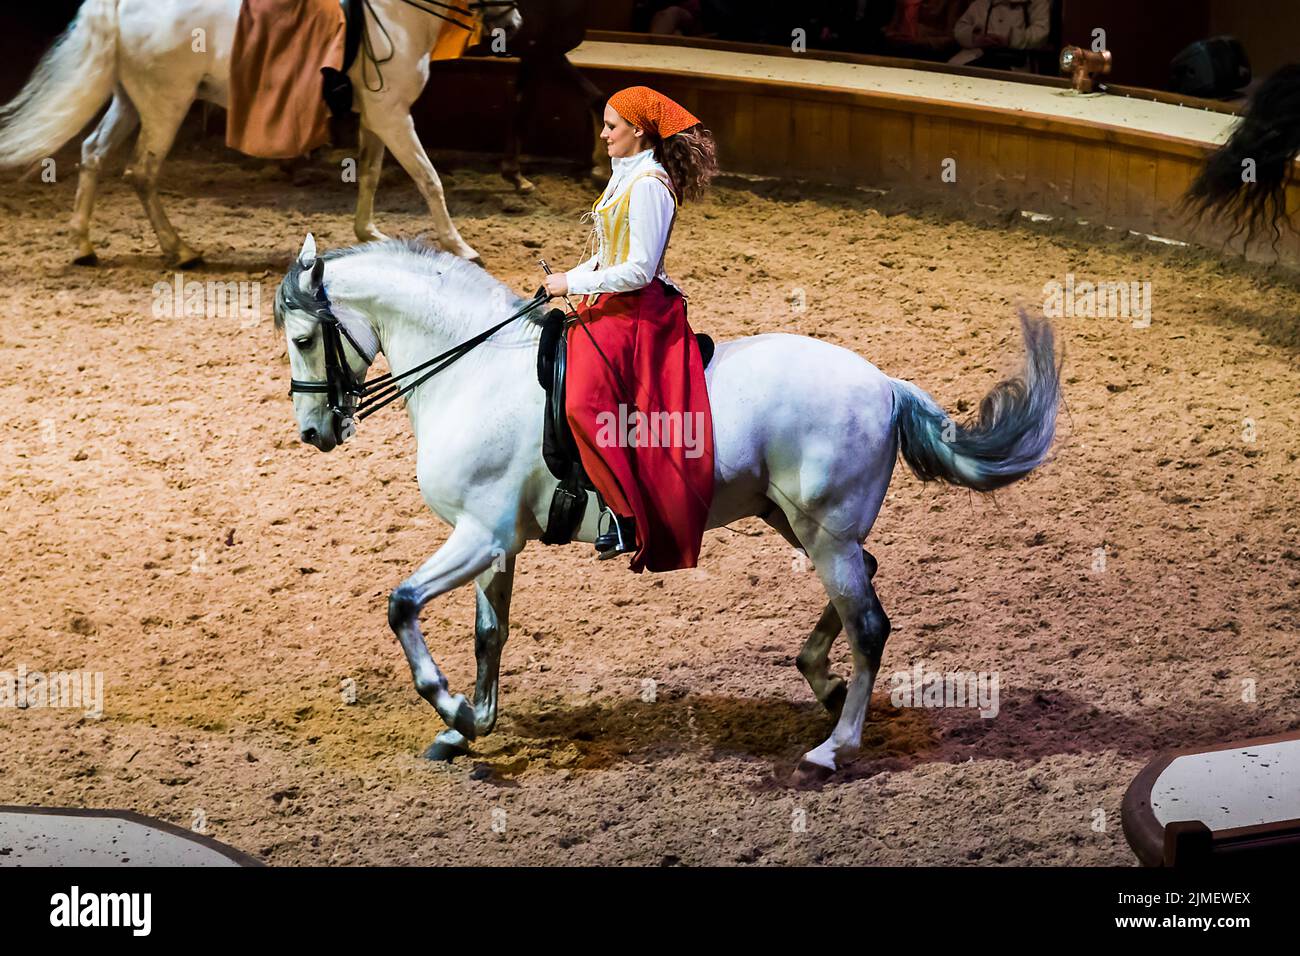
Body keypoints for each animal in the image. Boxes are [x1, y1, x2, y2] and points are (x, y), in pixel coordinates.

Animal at [0, 0, 522, 267]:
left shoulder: (377, 116)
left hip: (130, 101)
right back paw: (180, 250)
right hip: (166, 103)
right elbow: (429, 179)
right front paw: (461, 247)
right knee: (141, 173)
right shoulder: (394, 115)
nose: (513, 21)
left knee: (93, 155)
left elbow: (371, 175)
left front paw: (369, 234)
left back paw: (84, 246)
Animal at [274, 234, 1062, 779]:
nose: (315, 433)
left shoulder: (478, 535)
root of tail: (883, 384)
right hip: (797, 522)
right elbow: (489, 635)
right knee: (861, 585)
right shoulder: (499, 542)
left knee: (869, 623)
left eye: (305, 337)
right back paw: (822, 678)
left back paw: (833, 748)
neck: (473, 372)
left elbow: (402, 604)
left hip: (823, 530)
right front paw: (471, 723)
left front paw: (451, 706)